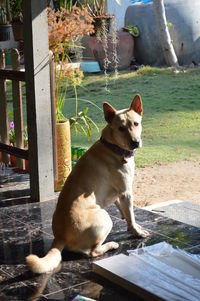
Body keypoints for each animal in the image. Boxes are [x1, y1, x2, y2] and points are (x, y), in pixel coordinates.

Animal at [26, 93, 148, 272]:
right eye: (121, 128)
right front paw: (137, 232)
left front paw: (132, 227)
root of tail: (59, 237)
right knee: (92, 252)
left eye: (136, 124)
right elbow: (131, 215)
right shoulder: (126, 192)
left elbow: (126, 213)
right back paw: (111, 245)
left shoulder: (119, 195)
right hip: (105, 217)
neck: (113, 147)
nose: (135, 142)